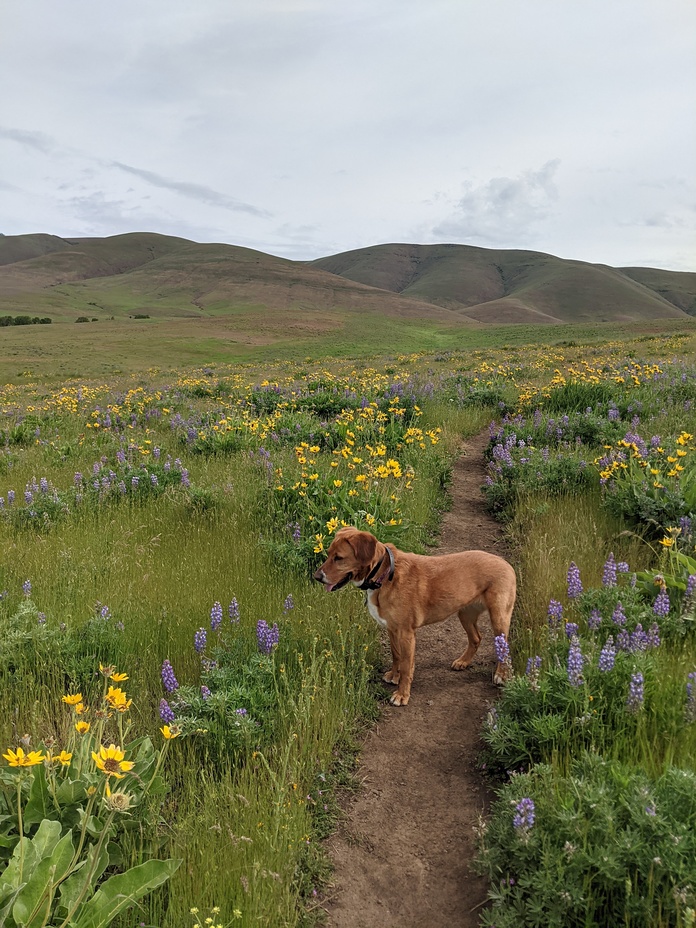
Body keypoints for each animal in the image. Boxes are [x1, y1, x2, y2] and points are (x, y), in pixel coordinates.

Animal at [312, 524, 512, 708]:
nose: (316, 577)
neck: (384, 574)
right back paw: (463, 661)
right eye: (328, 554)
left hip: (498, 619)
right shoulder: (392, 629)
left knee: (503, 647)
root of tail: (505, 562)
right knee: (476, 638)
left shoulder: (406, 633)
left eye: (339, 558)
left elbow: (407, 666)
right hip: (466, 614)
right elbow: (396, 656)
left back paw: (501, 674)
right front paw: (394, 675)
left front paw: (402, 695)